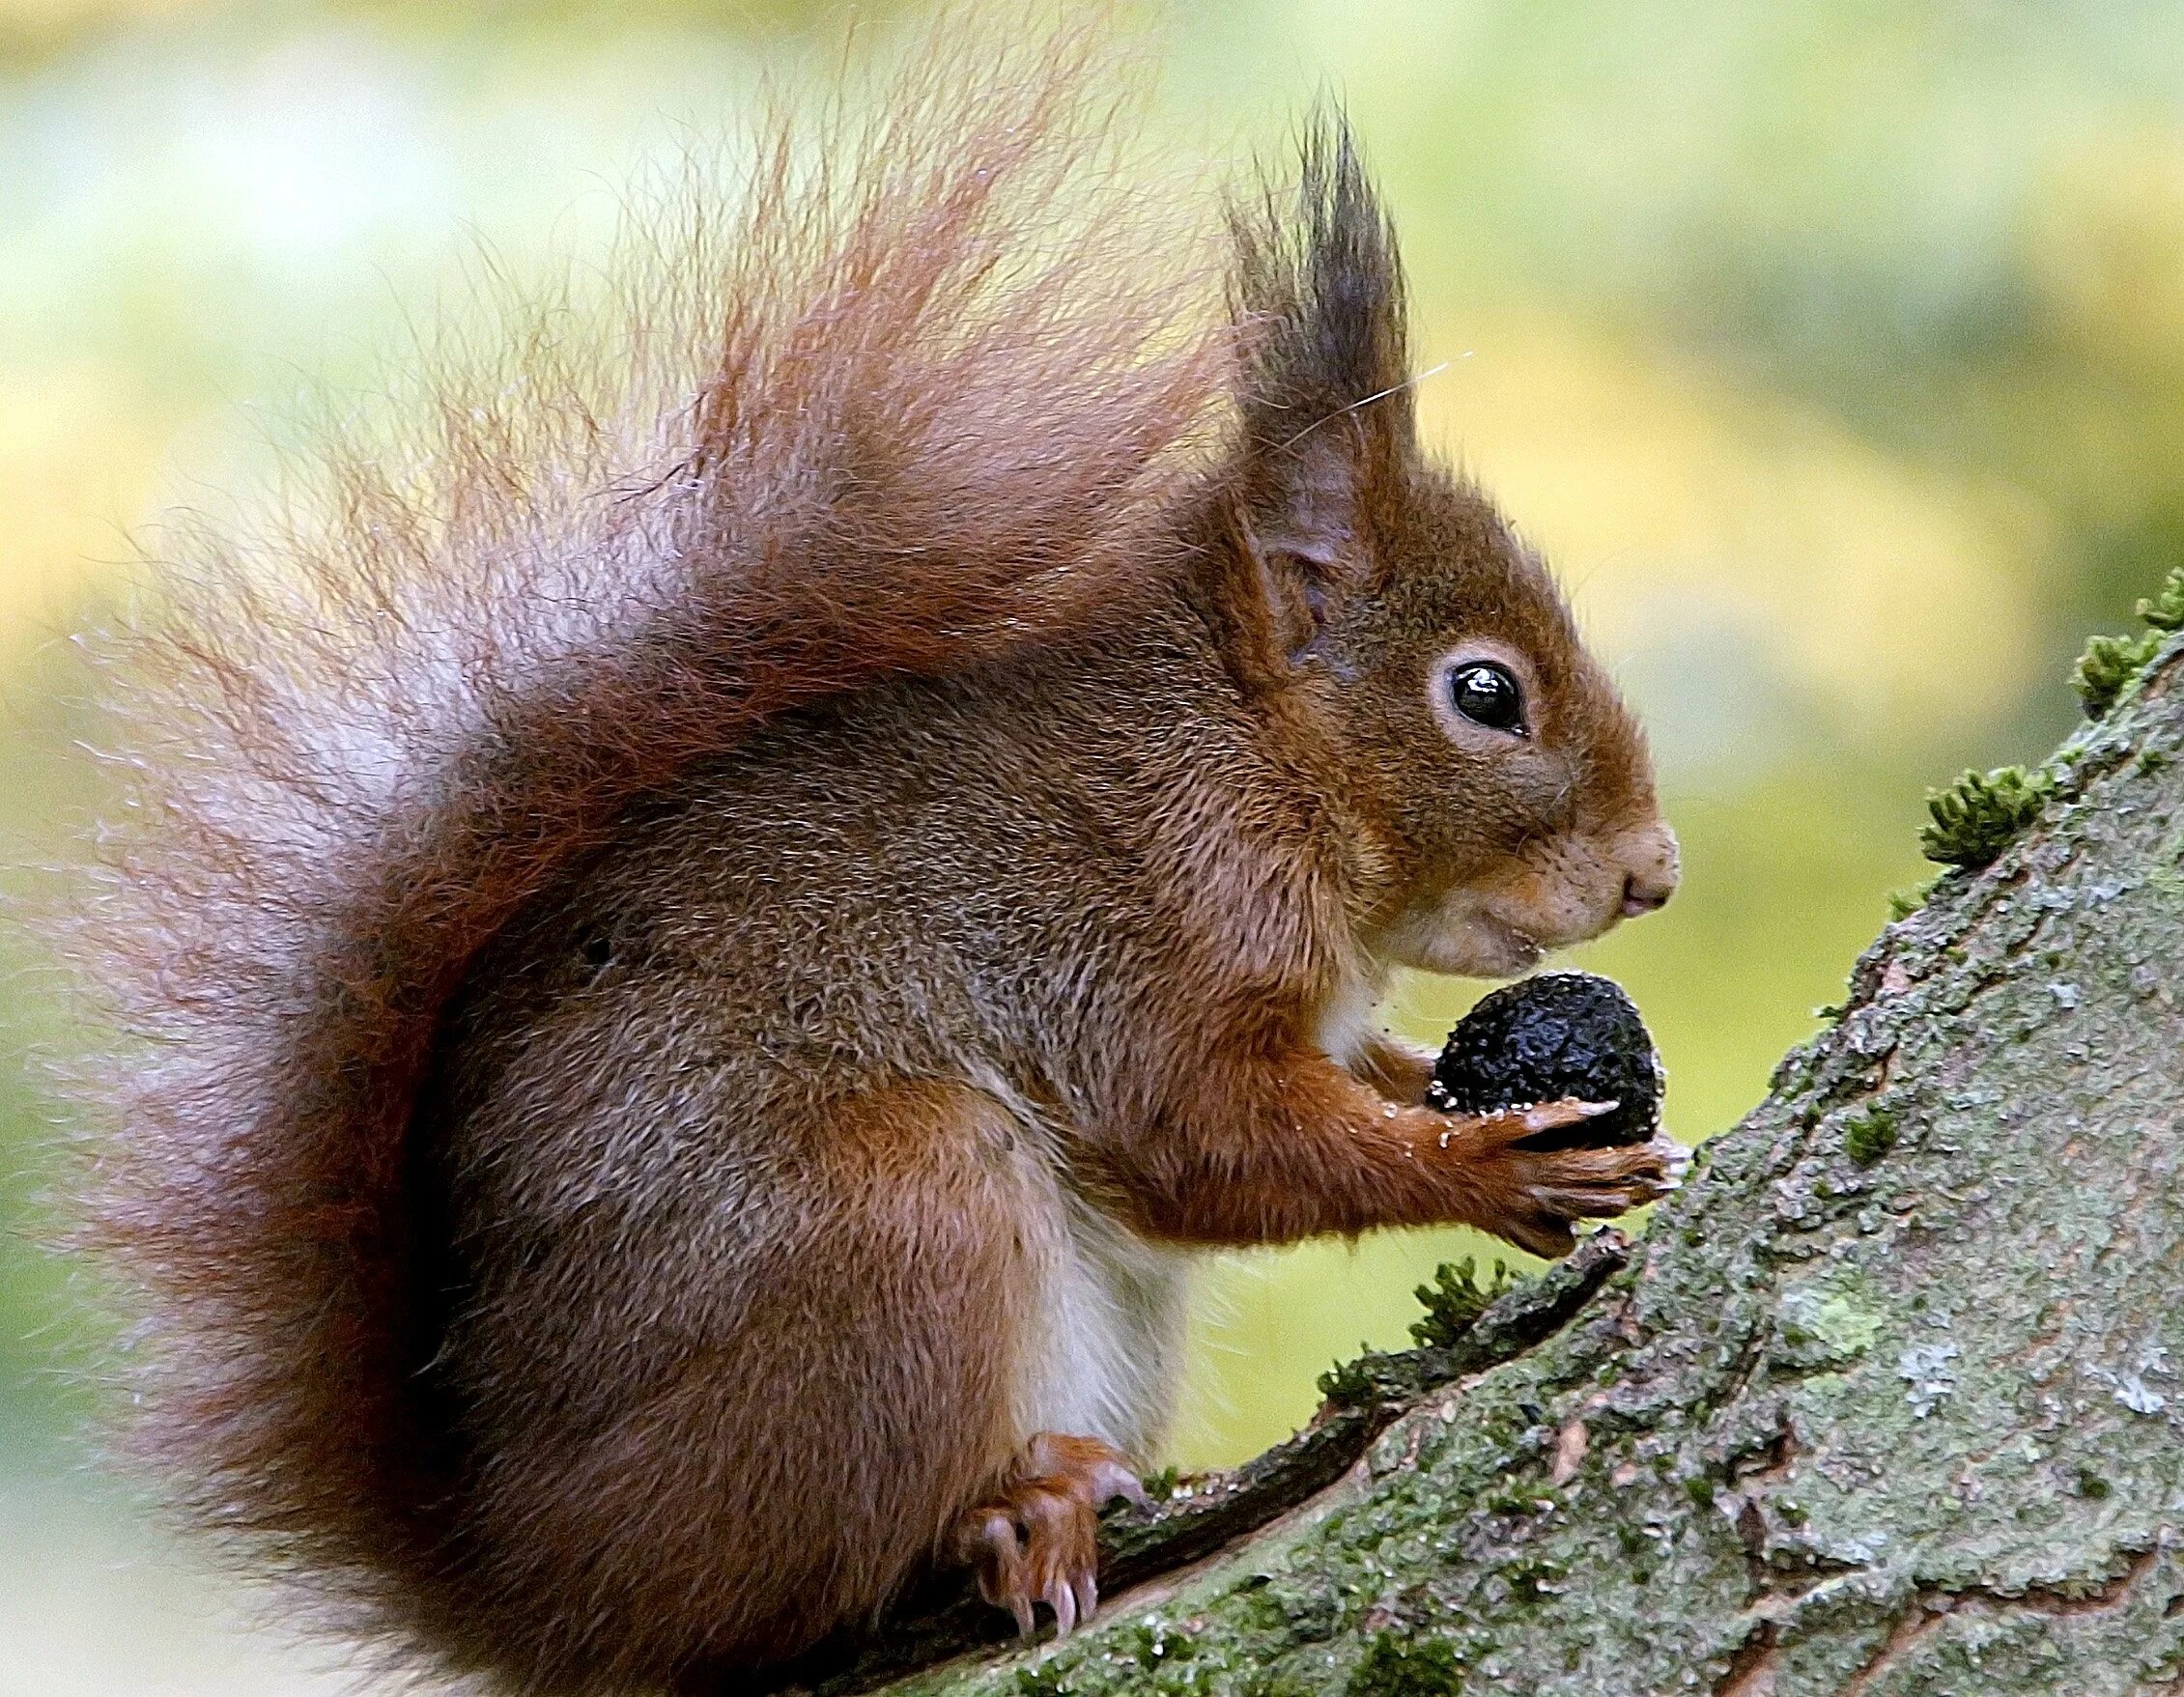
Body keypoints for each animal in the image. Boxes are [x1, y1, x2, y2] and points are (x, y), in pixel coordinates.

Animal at [64, 26, 1668, 1694]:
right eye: (1483, 693)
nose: (1652, 872)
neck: (1254, 759)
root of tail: (531, 1589)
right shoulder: (1136, 930)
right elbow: (1202, 1136)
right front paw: (1489, 1158)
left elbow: (1344, 1081)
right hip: (894, 1217)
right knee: (788, 1592)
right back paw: (1006, 1511)